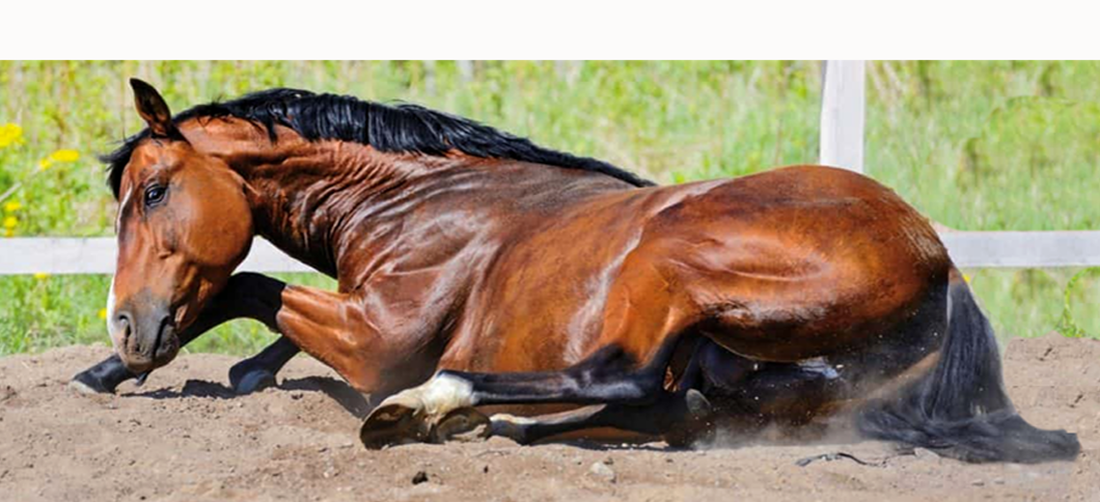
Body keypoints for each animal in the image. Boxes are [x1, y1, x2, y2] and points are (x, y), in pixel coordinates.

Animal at [71, 78, 1079, 463]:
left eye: (154, 191)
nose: (126, 320)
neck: (413, 204)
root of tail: (939, 262)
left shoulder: (377, 342)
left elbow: (251, 287)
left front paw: (139, 364)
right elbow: (248, 300)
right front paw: (113, 368)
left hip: (675, 261)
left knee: (623, 376)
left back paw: (435, 410)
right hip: (738, 361)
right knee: (669, 404)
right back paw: (510, 425)